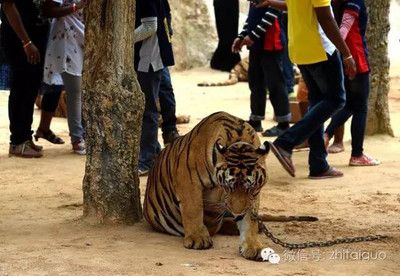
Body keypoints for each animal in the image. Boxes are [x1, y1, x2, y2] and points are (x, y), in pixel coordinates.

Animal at [143, 112, 388, 260]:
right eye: (229, 187)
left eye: (251, 188)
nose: (236, 211)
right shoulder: (188, 179)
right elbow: (193, 208)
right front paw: (197, 238)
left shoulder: (253, 195)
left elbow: (250, 219)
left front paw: (253, 246)